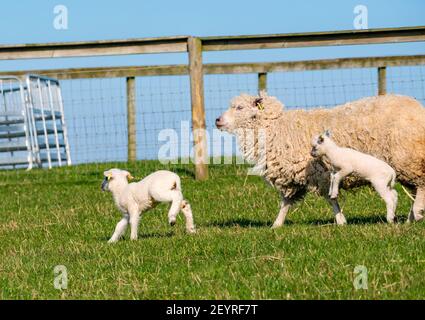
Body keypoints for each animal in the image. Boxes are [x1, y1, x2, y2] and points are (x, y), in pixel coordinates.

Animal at [215, 90, 424, 225]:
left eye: (239, 107)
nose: (217, 120)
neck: (276, 129)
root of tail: (418, 109)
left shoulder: (318, 172)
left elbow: (330, 198)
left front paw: (340, 221)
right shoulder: (296, 177)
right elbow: (286, 202)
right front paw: (276, 225)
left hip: (410, 160)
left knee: (420, 187)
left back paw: (416, 215)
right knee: (415, 191)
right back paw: (411, 219)